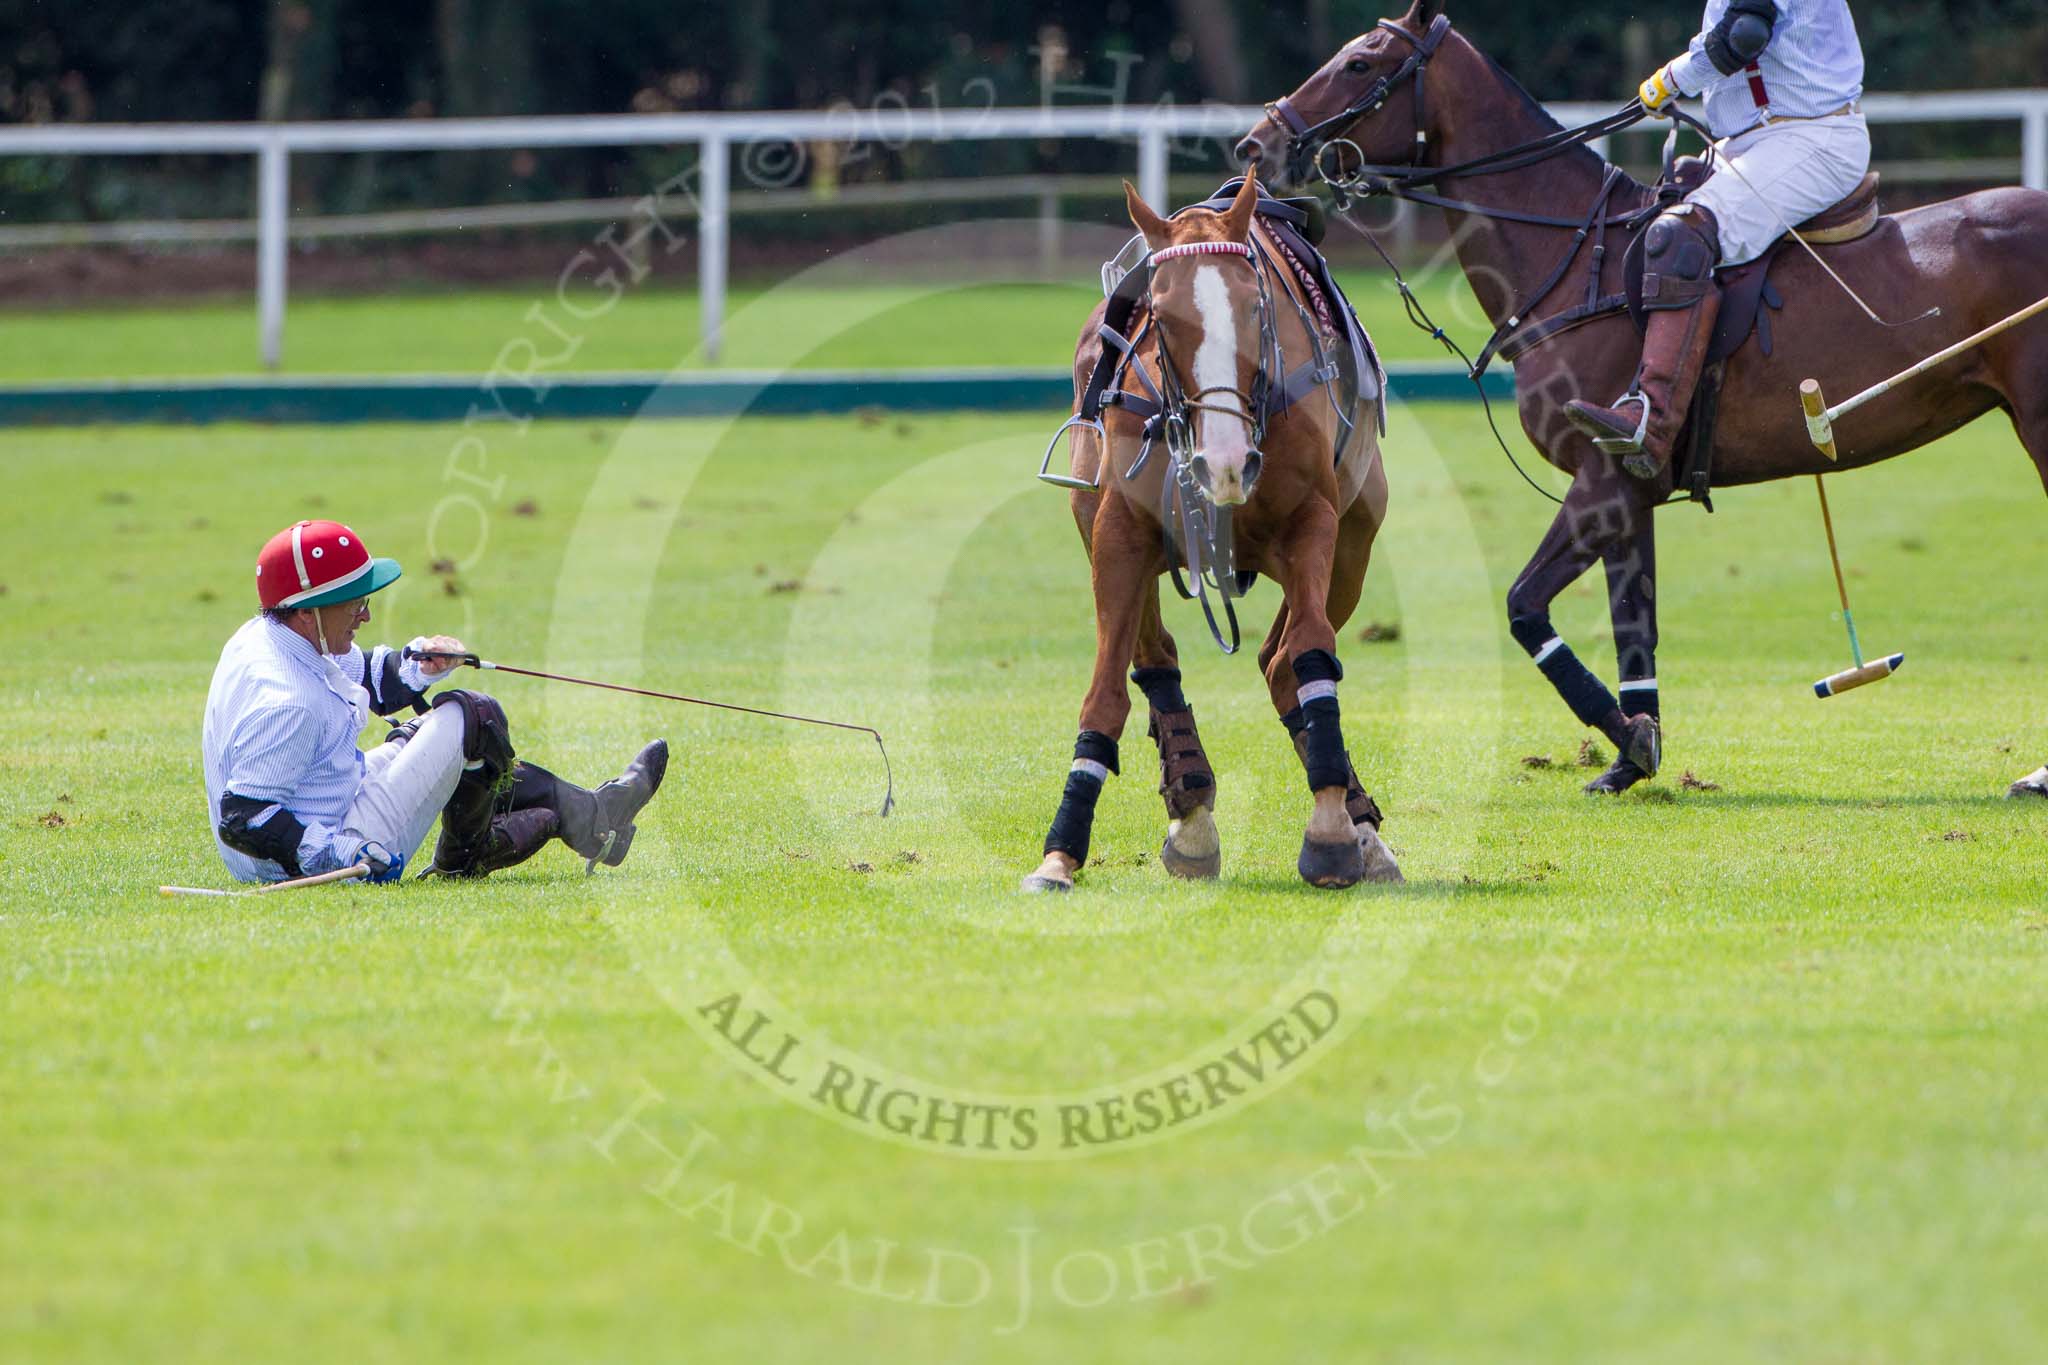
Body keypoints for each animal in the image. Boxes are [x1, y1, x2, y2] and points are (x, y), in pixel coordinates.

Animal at [1228, 0, 2048, 794]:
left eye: (1360, 62)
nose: (1254, 147)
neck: (1569, 258)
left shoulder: (1603, 478)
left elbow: (1524, 606)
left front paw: (1627, 737)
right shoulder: (1631, 491)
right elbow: (1635, 625)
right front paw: (1631, 753)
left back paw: (2036, 777)